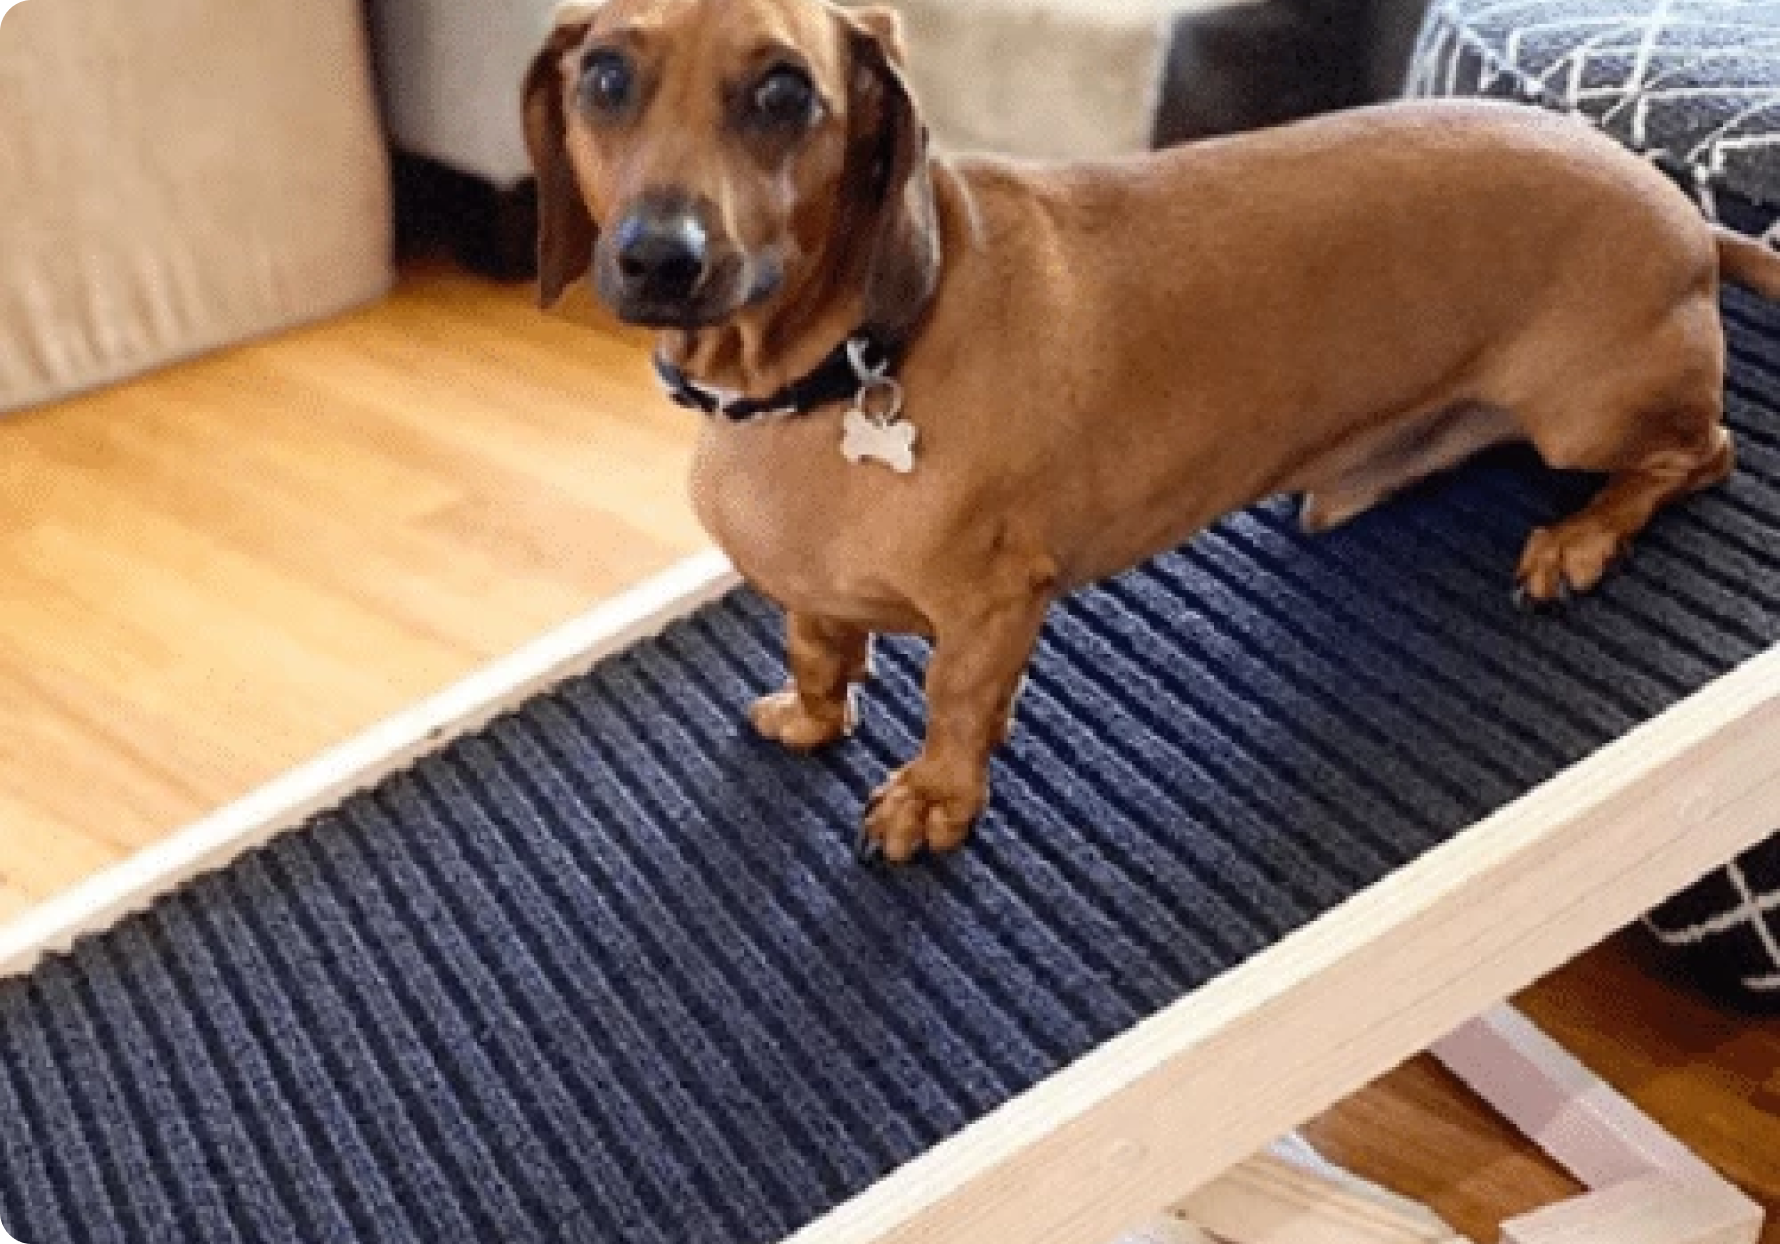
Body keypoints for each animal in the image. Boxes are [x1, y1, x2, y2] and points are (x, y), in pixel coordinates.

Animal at [524, 0, 1780, 864]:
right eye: (605, 74)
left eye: (786, 93)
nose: (659, 257)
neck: (833, 375)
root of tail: (1688, 219)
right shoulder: (815, 590)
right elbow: (819, 648)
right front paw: (812, 714)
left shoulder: (996, 604)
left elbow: (955, 705)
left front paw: (934, 798)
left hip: (1586, 413)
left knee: (1700, 453)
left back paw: (1579, 538)